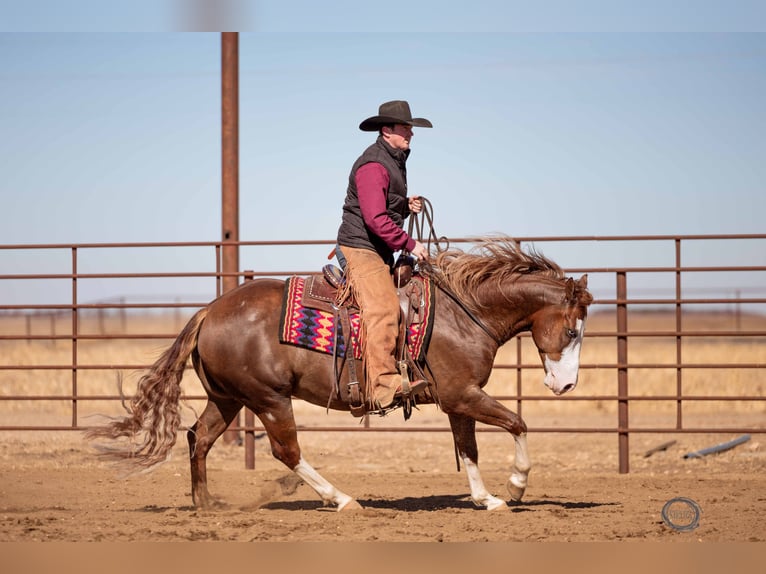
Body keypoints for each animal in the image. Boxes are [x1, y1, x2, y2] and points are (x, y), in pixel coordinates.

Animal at [86, 237, 593, 512]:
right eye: (571, 329)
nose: (565, 384)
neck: (461, 312)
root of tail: (209, 311)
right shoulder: (462, 394)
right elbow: (517, 423)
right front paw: (516, 486)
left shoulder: (458, 400)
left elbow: (468, 449)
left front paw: (486, 499)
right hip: (269, 399)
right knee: (286, 451)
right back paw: (342, 499)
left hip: (228, 398)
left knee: (200, 437)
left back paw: (206, 503)